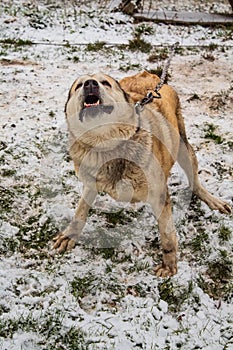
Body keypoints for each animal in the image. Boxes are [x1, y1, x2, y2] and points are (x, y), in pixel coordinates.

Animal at [53, 71, 231, 278]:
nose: (90, 83)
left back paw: (212, 200)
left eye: (105, 82)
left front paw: (169, 264)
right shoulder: (91, 183)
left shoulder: (159, 195)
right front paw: (70, 234)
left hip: (182, 145)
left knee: (194, 180)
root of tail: (148, 74)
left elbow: (167, 235)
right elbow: (80, 210)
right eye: (79, 85)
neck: (106, 145)